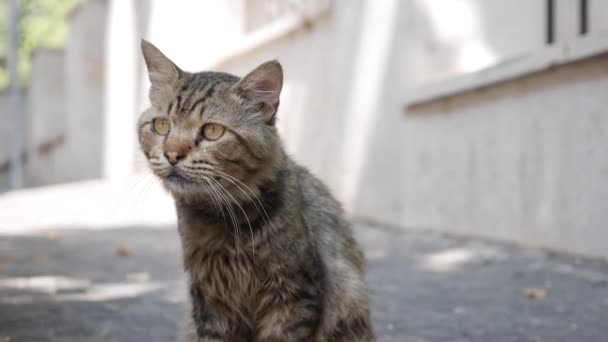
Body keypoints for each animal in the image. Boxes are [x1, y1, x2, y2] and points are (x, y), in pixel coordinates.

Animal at [139, 40, 376, 342]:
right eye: (161, 126)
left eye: (212, 131)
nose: (172, 154)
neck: (225, 222)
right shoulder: (209, 300)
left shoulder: (294, 294)